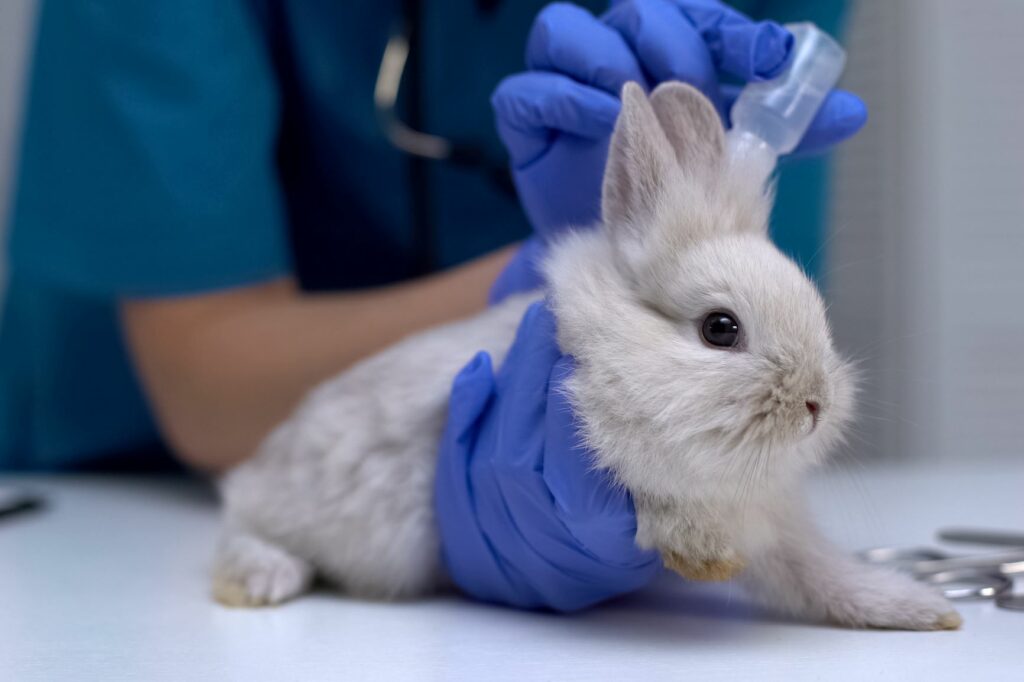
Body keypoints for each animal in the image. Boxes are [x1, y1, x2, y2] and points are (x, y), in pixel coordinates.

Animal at [211, 82, 962, 630]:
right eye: (720, 329)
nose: (815, 404)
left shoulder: (776, 525)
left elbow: (817, 575)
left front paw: (920, 610)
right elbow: (670, 507)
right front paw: (701, 556)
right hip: (292, 506)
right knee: (239, 523)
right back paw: (263, 580)